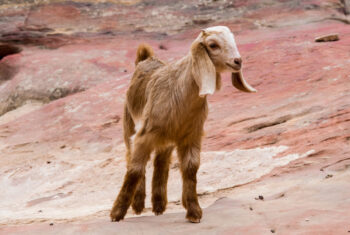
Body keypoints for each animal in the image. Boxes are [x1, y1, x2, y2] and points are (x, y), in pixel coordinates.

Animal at [110, 26, 256, 224]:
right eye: (213, 45)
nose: (237, 61)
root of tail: (145, 58)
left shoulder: (191, 135)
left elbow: (190, 168)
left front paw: (193, 211)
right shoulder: (144, 135)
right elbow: (135, 169)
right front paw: (117, 213)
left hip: (166, 139)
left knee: (161, 162)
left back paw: (159, 205)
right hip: (130, 127)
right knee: (132, 159)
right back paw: (139, 204)